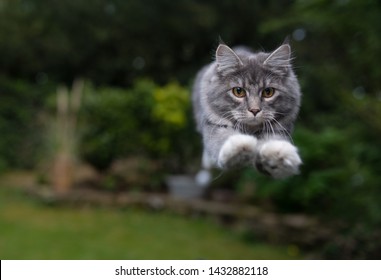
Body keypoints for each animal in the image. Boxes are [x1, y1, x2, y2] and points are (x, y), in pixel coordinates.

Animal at [191, 41, 302, 182]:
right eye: (238, 91)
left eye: (268, 92)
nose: (254, 110)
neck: (251, 131)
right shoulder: (215, 125)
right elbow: (223, 138)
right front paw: (240, 147)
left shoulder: (279, 130)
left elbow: (274, 142)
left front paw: (279, 155)